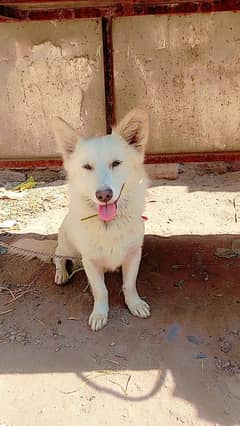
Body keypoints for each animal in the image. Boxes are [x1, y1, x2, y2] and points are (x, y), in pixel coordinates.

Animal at [51, 108, 151, 332]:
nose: (104, 195)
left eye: (116, 163)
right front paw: (100, 314)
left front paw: (135, 304)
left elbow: (129, 284)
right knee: (57, 257)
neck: (109, 225)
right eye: (87, 167)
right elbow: (101, 291)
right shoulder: (90, 261)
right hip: (67, 248)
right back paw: (61, 274)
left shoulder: (133, 254)